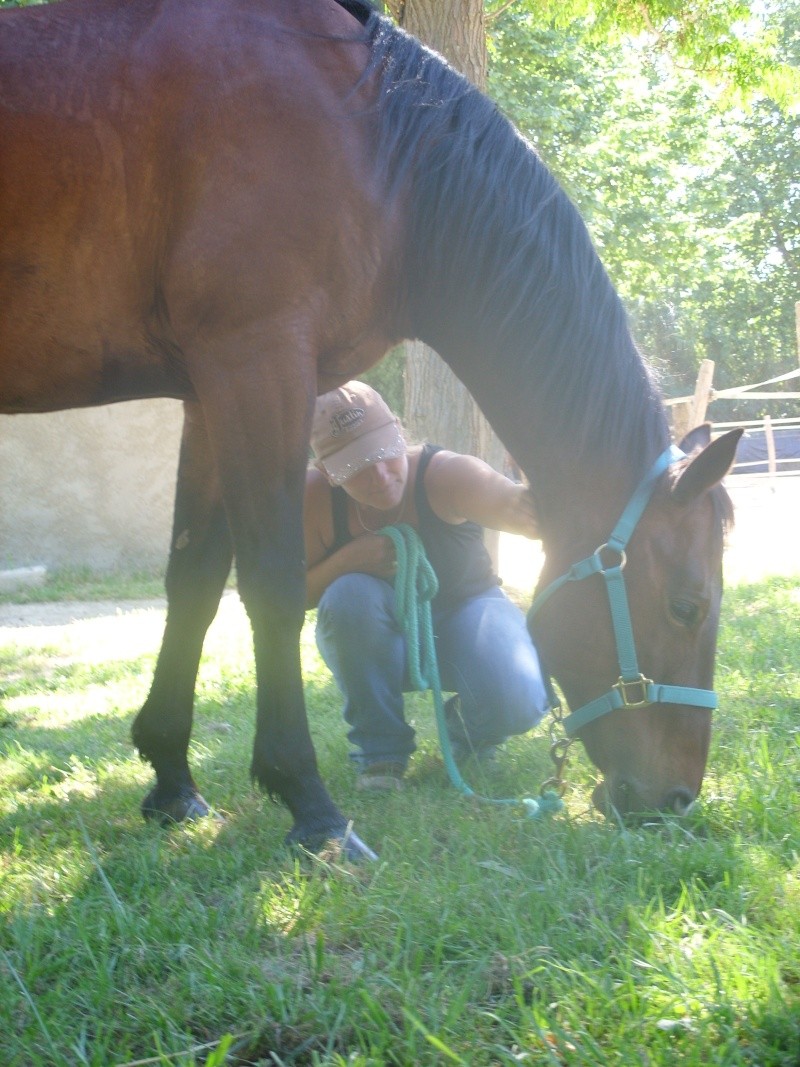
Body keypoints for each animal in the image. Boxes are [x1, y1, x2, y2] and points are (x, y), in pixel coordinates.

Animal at [0, 0, 742, 853]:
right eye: (688, 606)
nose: (674, 800)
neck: (376, 146)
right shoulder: (255, 361)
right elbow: (272, 584)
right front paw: (309, 804)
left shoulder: (206, 394)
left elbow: (194, 581)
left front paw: (171, 782)